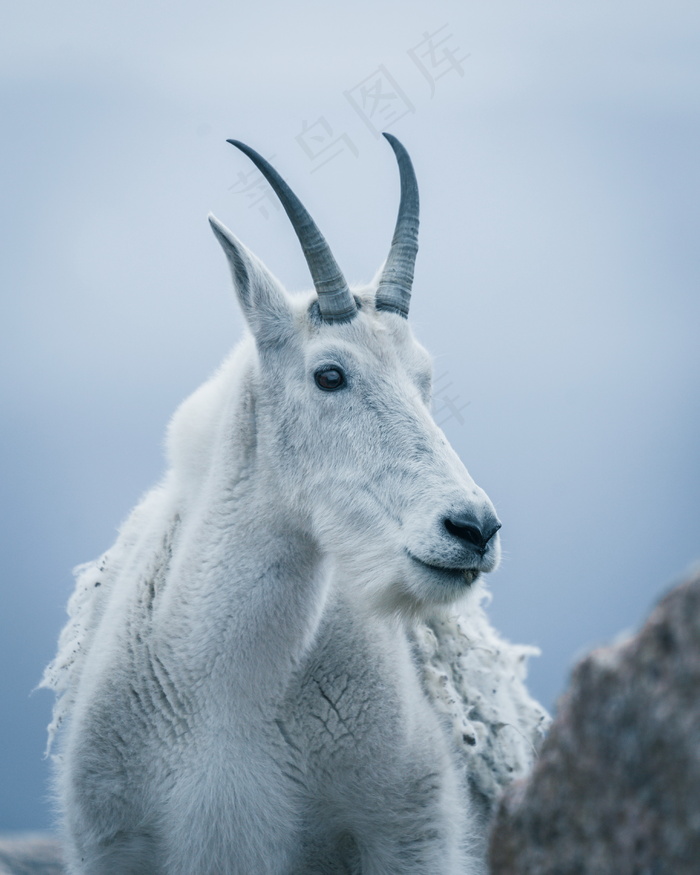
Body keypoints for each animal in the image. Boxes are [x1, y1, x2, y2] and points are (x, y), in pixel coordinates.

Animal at [41, 133, 548, 872]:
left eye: (424, 377)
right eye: (329, 374)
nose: (472, 528)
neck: (229, 690)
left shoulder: (413, 837)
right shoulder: (115, 845)